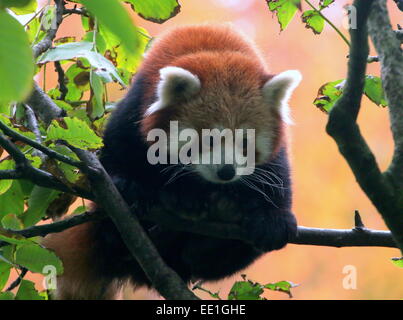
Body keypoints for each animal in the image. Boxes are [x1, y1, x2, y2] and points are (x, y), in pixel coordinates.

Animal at [43, 25, 304, 300]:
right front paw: (126, 184)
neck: (215, 50)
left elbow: (276, 175)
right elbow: (117, 146)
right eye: (210, 139)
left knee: (204, 261)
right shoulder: (138, 105)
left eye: (245, 141)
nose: (226, 172)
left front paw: (274, 218)